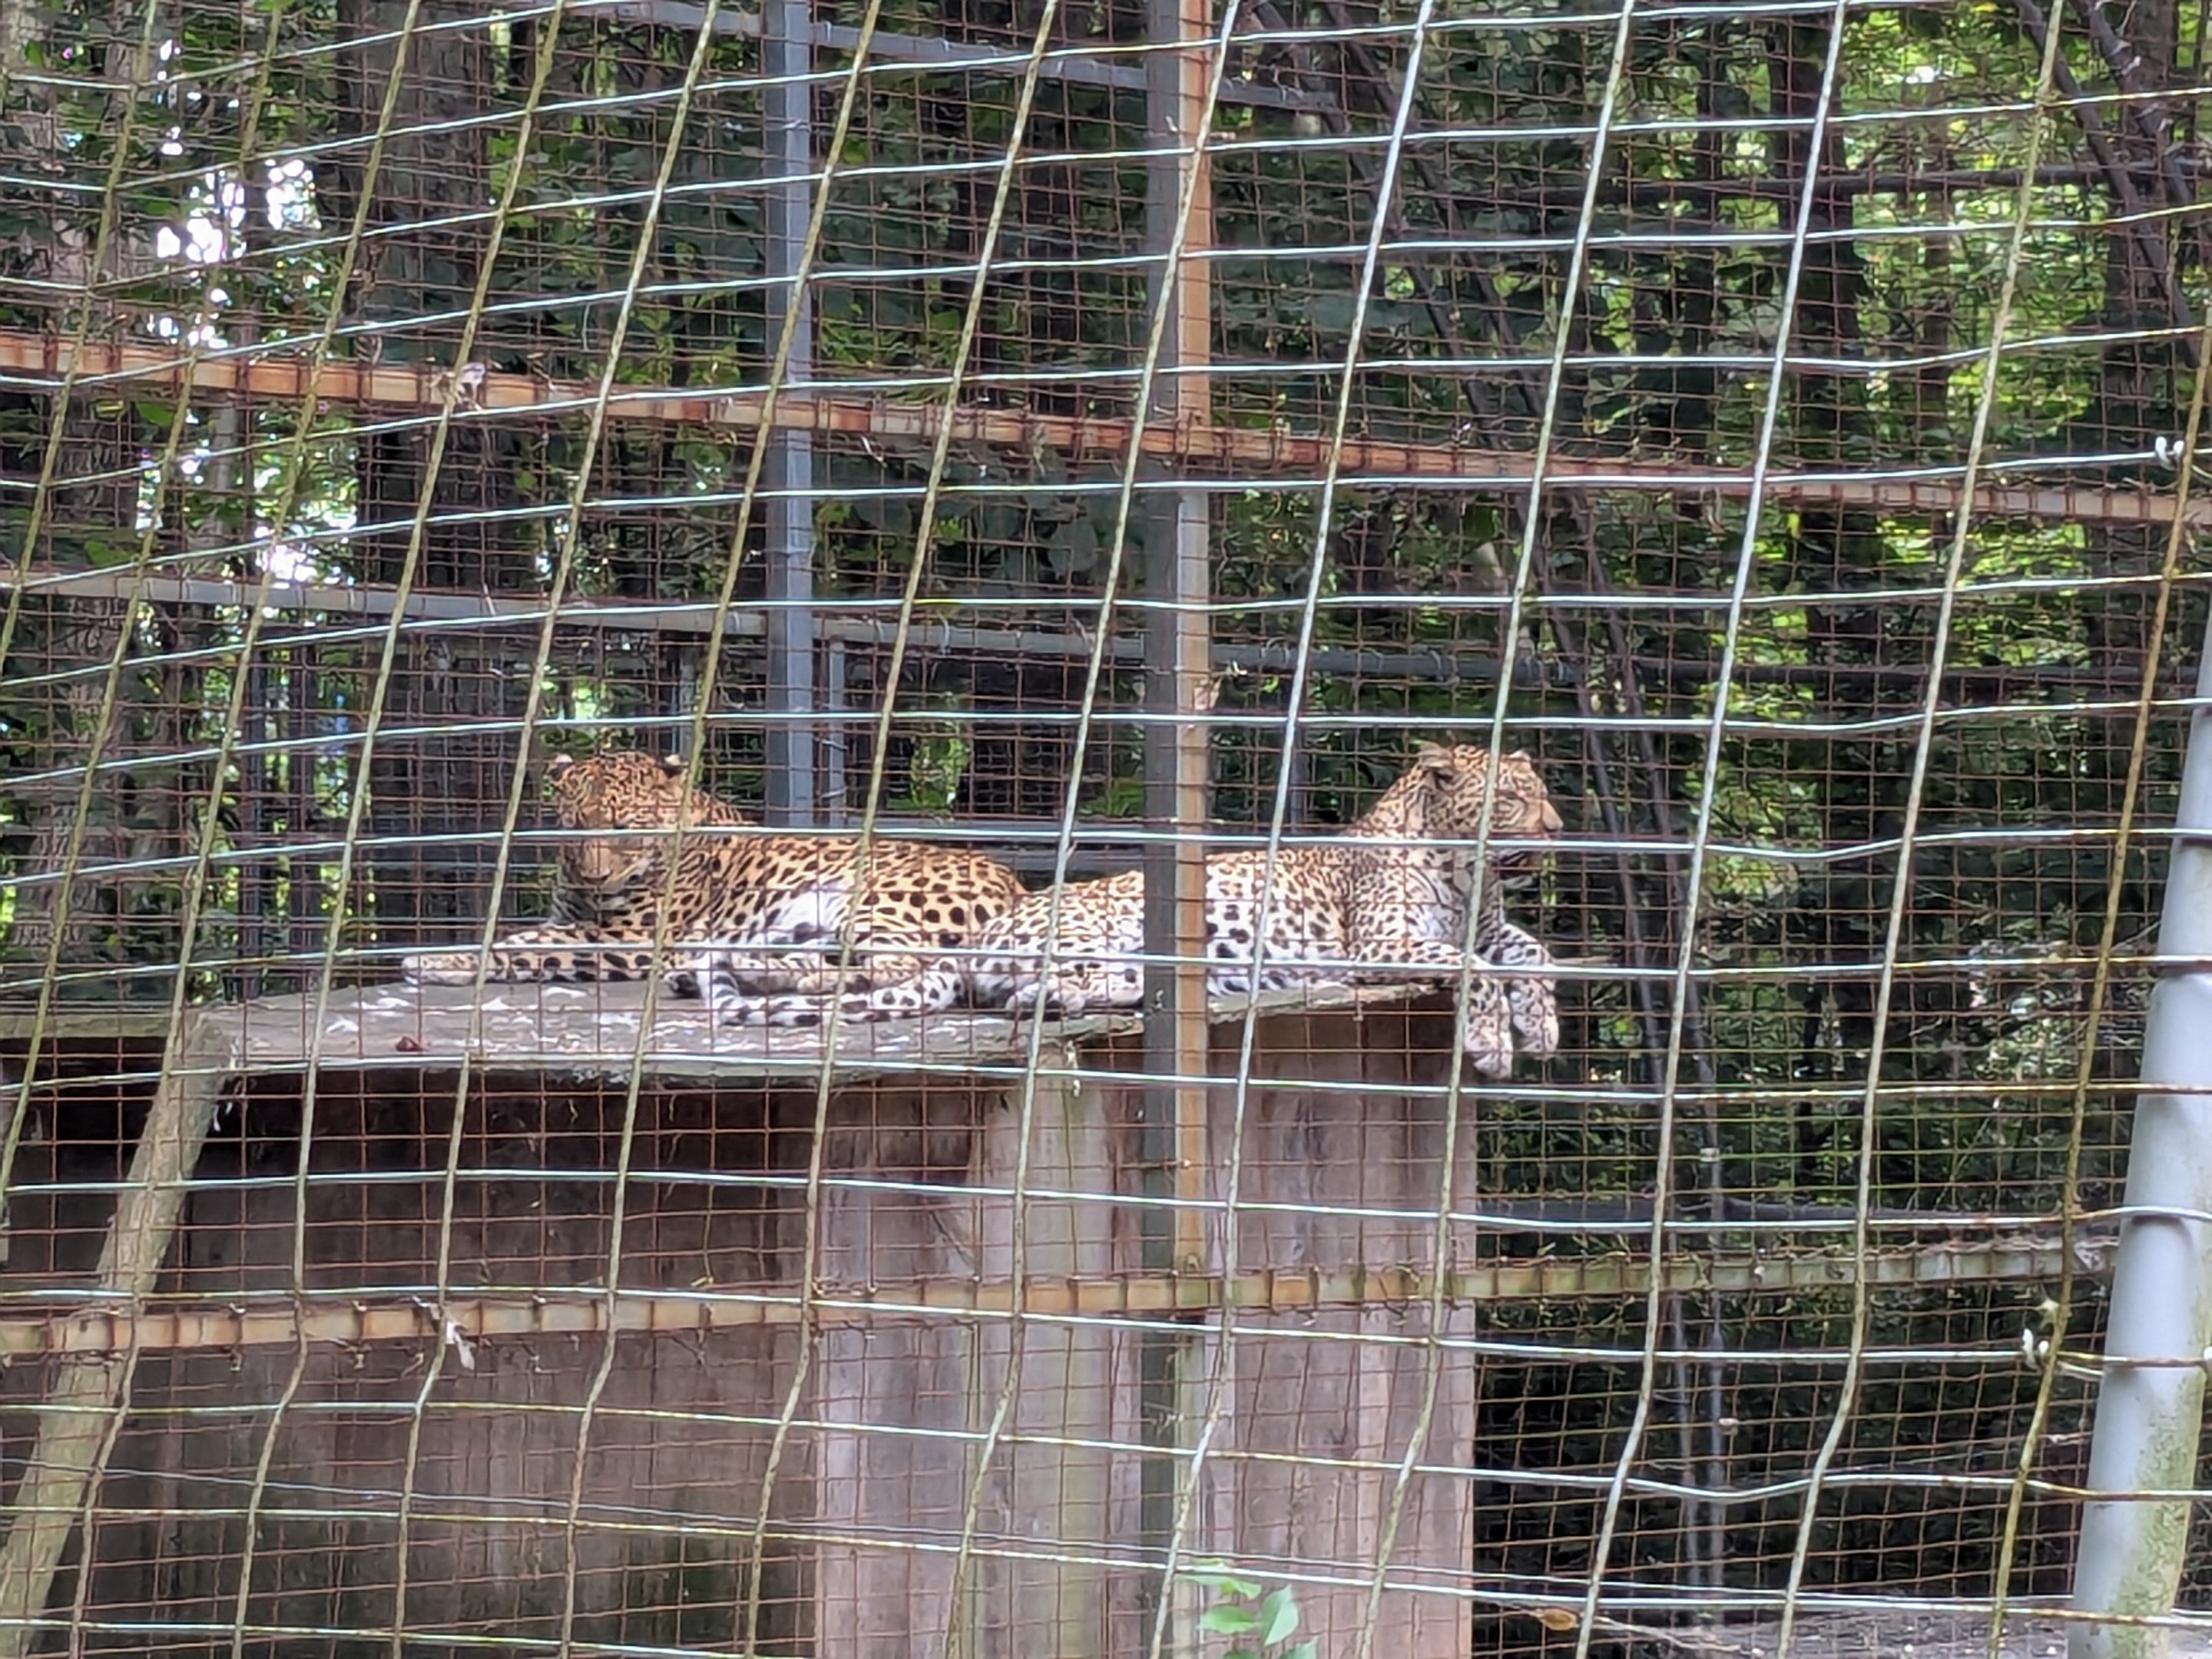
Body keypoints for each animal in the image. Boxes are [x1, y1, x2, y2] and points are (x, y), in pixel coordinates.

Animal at [399, 751, 1029, 1002]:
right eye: (574, 828)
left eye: (626, 828)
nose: (597, 880)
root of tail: (1018, 888)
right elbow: (526, 935)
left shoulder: (631, 939)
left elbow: (526, 946)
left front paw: (440, 961)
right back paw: (717, 975)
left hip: (872, 899)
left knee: (898, 964)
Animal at [708, 744, 1563, 1077]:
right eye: (1512, 800)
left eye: (1545, 793)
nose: (1557, 828)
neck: (1466, 873)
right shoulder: (1381, 944)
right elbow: (1477, 969)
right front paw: (1495, 1042)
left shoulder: (1495, 927)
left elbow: (1532, 954)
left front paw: (1544, 1024)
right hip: (1097, 925)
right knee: (1023, 990)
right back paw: (1059, 996)